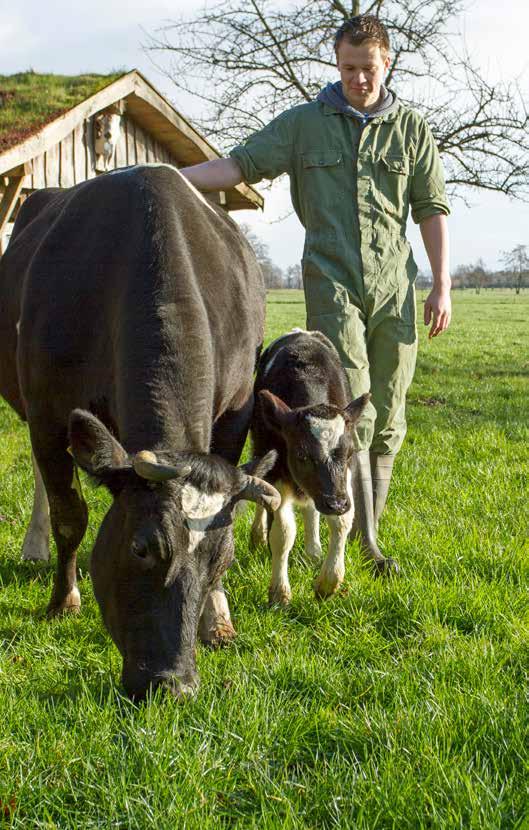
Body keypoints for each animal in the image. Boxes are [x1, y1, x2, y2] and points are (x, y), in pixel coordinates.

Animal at [0, 166, 280, 700]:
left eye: (225, 560)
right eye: (140, 548)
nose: (173, 686)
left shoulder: (236, 410)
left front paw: (217, 619)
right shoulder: (46, 412)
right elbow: (70, 515)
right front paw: (63, 600)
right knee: (46, 486)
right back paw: (35, 546)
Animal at [251, 330, 368, 604]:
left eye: (349, 453)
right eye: (301, 455)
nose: (335, 503)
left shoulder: (342, 481)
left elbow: (342, 522)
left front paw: (328, 581)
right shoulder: (277, 473)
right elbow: (283, 533)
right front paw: (279, 593)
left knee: (311, 509)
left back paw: (313, 551)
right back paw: (258, 535)